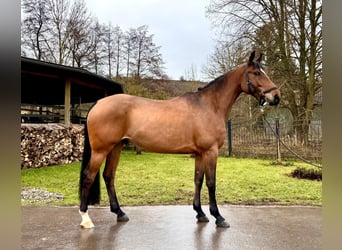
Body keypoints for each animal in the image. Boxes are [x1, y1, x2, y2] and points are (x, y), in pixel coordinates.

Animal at [78, 50, 280, 229]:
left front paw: (200, 213)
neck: (210, 105)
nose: (276, 96)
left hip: (116, 147)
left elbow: (198, 179)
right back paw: (86, 218)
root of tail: (99, 103)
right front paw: (218, 217)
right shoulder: (210, 151)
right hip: (101, 150)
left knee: (108, 176)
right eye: (256, 73)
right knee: (89, 176)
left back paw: (119, 213)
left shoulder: (199, 153)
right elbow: (211, 183)